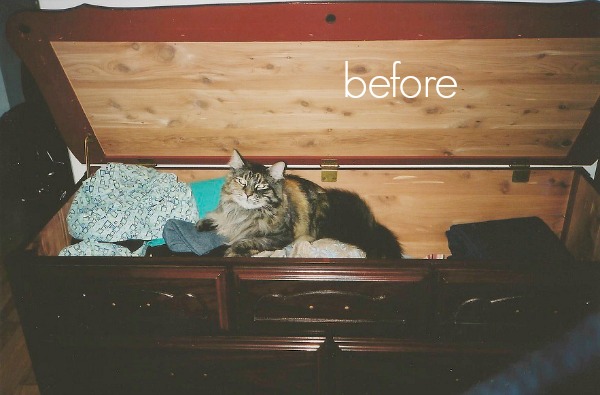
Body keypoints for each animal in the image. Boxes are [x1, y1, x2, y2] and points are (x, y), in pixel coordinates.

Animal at [197, 150, 404, 258]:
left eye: (261, 186)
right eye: (242, 181)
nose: (248, 194)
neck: (242, 213)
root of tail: (372, 222)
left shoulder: (279, 236)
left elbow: (242, 242)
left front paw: (225, 251)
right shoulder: (226, 218)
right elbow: (214, 219)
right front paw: (203, 224)